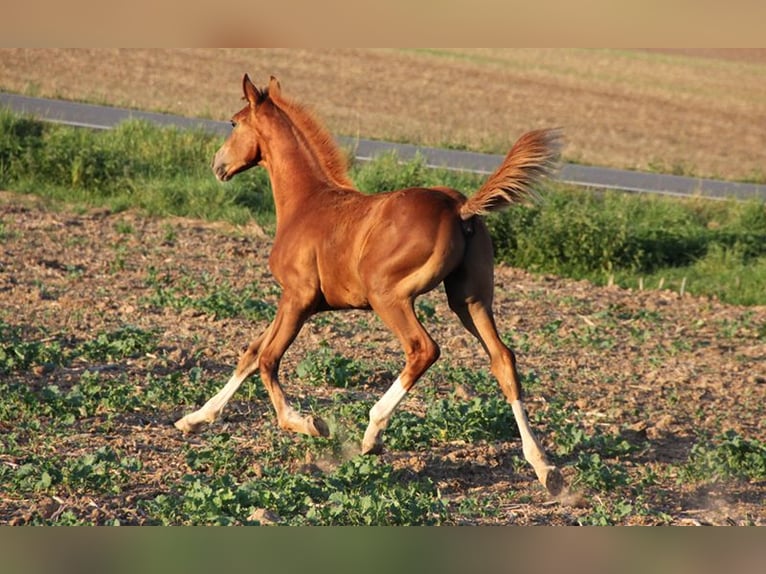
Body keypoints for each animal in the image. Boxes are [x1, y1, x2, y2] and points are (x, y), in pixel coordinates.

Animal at [177, 74, 568, 498]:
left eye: (233, 122)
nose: (218, 165)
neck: (306, 202)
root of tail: (459, 208)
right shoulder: (297, 302)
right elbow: (250, 353)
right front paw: (195, 418)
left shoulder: (297, 298)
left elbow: (268, 359)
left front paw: (309, 423)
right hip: (470, 298)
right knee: (503, 360)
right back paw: (545, 468)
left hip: (388, 296)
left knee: (423, 349)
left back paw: (372, 434)